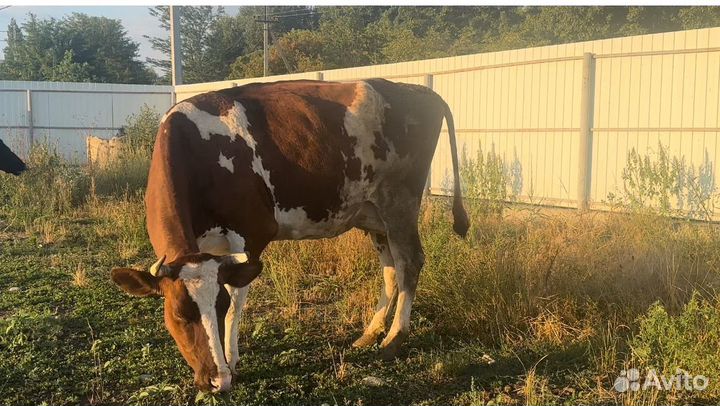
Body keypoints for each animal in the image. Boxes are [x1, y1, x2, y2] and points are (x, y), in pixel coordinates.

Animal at [111, 79, 469, 392]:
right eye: (179, 315)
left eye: (219, 308)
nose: (216, 381)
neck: (200, 152)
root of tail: (418, 89)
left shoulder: (253, 233)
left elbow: (239, 299)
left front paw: (232, 360)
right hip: (373, 215)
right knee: (391, 268)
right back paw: (371, 332)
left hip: (399, 203)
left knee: (410, 261)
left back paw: (394, 338)